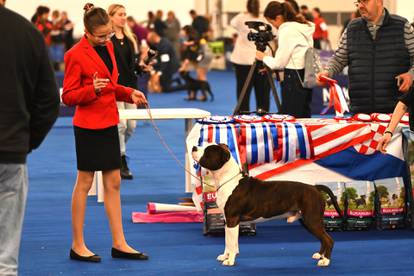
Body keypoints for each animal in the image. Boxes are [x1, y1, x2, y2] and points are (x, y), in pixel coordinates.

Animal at [192, 143, 342, 266]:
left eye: (207, 150)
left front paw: (230, 260)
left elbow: (231, 242)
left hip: (312, 219)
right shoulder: (228, 221)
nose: (194, 147)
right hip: (307, 220)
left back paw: (325, 261)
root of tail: (315, 188)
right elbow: (229, 242)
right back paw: (320, 256)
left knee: (328, 239)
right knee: (323, 238)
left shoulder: (232, 219)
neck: (228, 179)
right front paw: (225, 256)